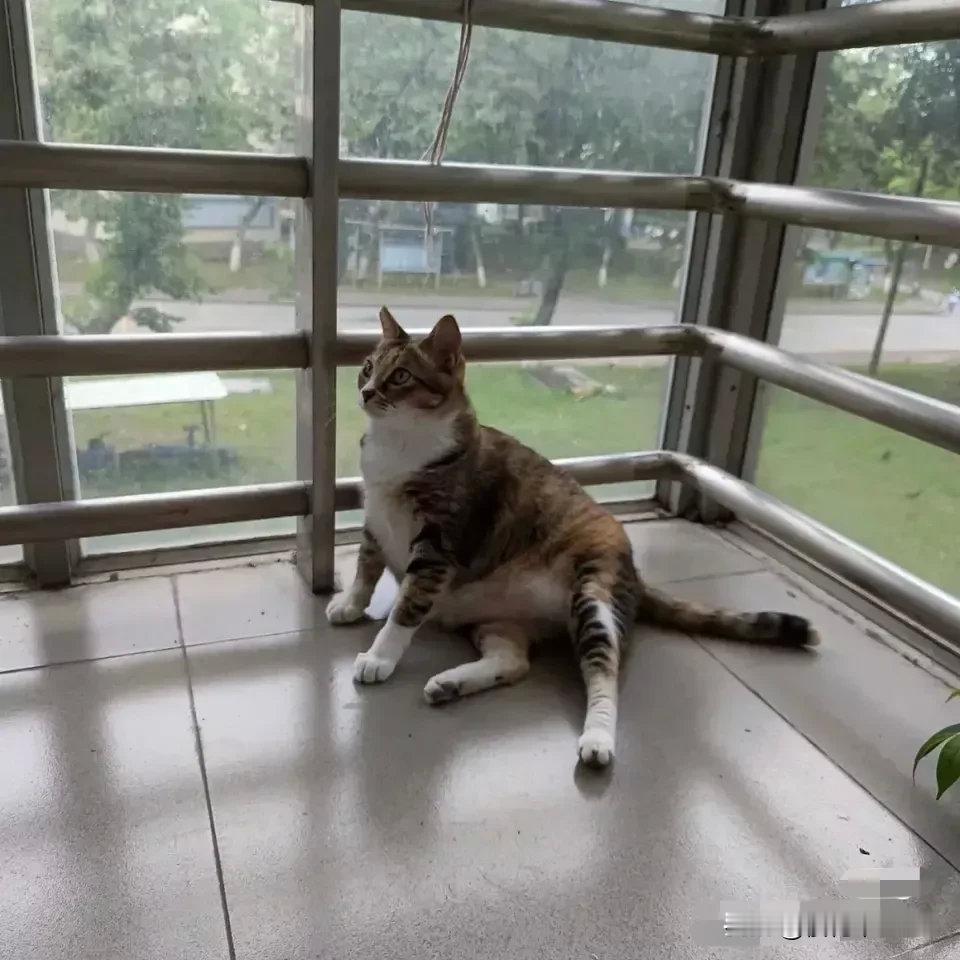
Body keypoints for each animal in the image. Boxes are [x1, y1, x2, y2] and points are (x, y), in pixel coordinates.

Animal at [327, 307, 819, 767]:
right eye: (368, 367)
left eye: (400, 376)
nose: (365, 391)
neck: (400, 445)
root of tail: (635, 574)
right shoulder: (374, 517)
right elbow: (366, 566)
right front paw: (350, 604)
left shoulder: (438, 544)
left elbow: (406, 608)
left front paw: (380, 657)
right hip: (497, 621)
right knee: (514, 662)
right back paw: (451, 682)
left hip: (592, 597)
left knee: (605, 672)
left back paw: (597, 740)